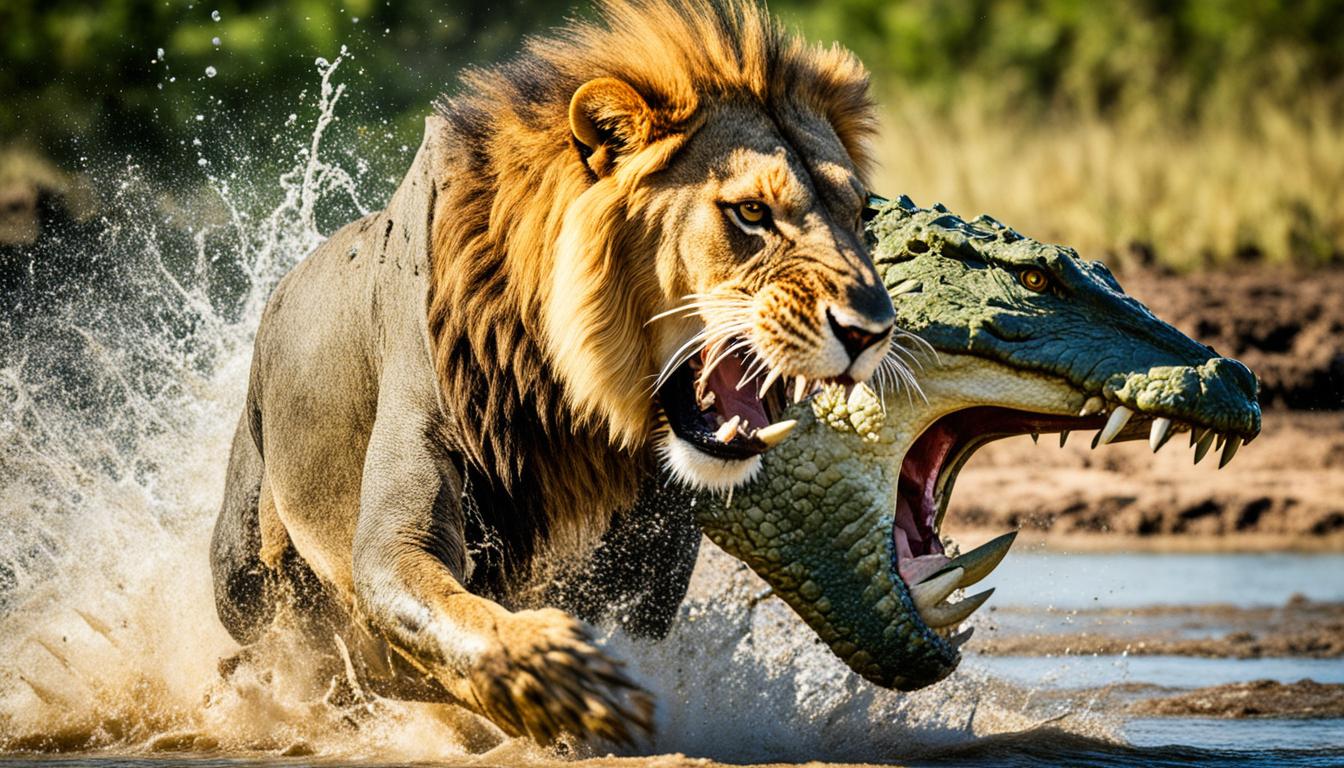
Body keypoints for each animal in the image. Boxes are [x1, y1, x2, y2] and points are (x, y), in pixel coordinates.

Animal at [210, 0, 899, 745]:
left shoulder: (651, 564)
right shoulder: (399, 522)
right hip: (243, 576)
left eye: (859, 216)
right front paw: (564, 682)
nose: (872, 330)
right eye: (750, 212)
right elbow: (443, 606)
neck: (572, 406)